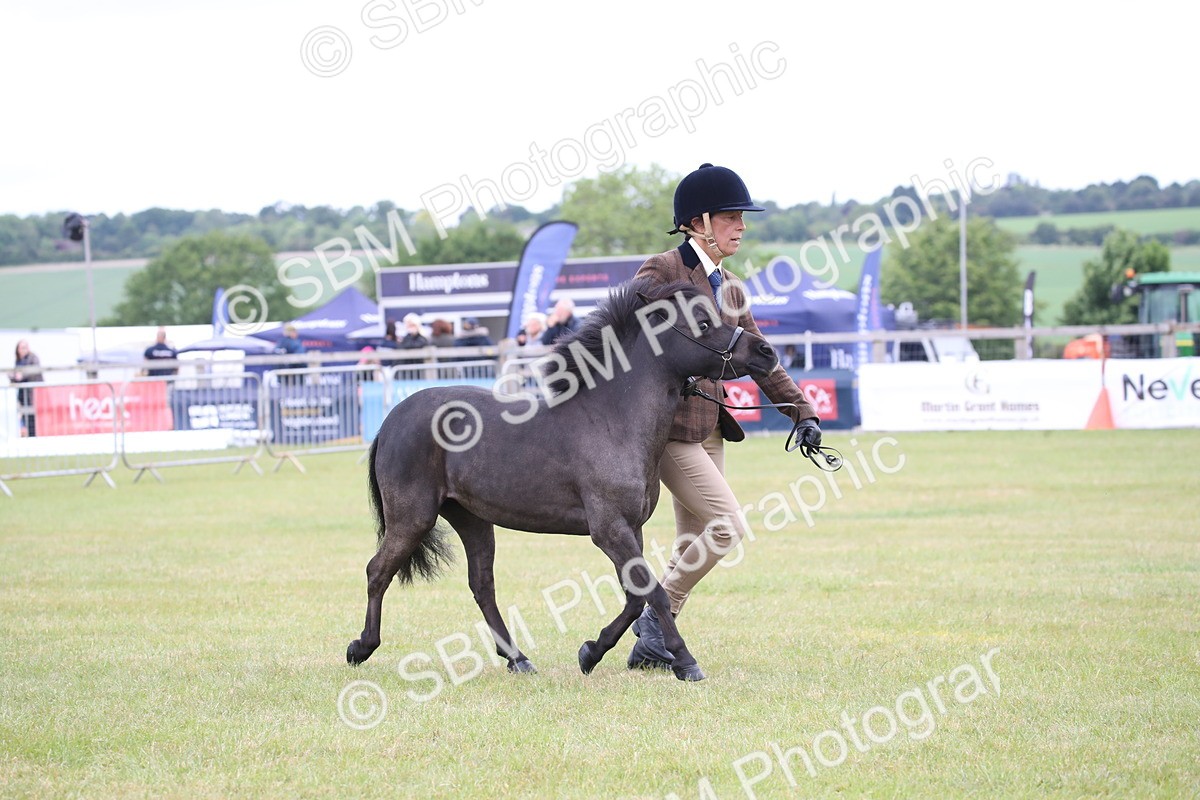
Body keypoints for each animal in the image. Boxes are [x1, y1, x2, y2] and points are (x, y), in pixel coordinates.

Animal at [346, 277, 780, 681]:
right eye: (702, 324)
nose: (766, 352)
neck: (612, 417)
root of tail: (392, 419)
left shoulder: (631, 529)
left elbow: (635, 597)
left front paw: (591, 652)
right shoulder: (609, 530)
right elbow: (652, 592)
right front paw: (685, 662)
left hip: (471, 519)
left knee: (482, 586)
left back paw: (518, 659)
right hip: (413, 517)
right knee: (377, 571)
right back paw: (361, 647)